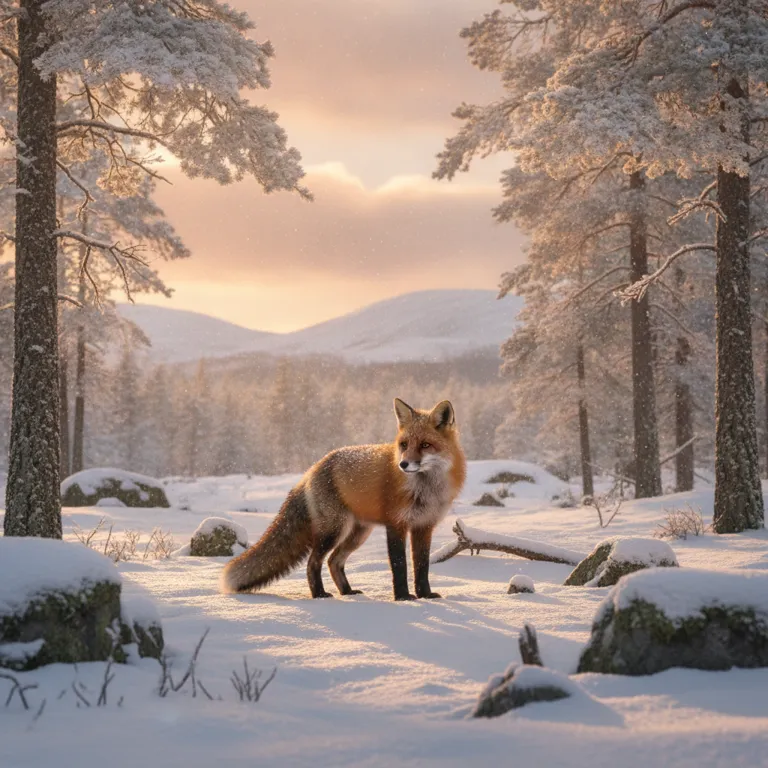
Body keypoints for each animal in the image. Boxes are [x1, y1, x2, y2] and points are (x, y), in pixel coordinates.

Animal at [222, 398, 466, 601]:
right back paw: (319, 594)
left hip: (358, 533)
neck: (425, 489)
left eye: (425, 445)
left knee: (334, 561)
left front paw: (425, 595)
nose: (403, 464)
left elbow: (422, 566)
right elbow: (399, 565)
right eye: (404, 445)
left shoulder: (424, 526)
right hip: (334, 530)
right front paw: (403, 597)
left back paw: (347, 591)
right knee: (314, 562)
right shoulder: (396, 524)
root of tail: (312, 469)